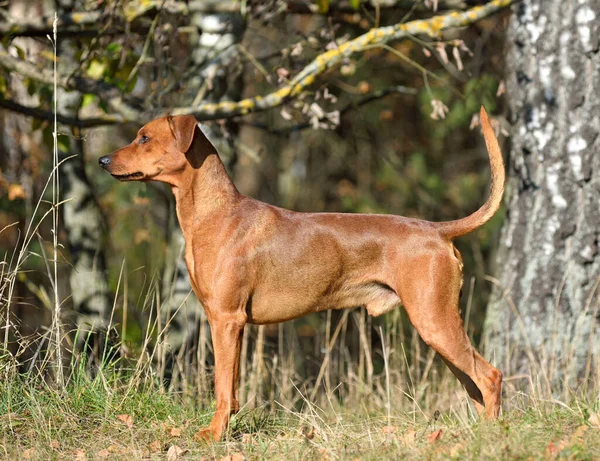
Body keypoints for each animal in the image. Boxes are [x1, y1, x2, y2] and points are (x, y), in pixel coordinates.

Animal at [101, 106, 504, 440]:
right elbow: (231, 388)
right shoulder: (232, 323)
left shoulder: (225, 319)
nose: (103, 160)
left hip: (434, 321)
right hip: (438, 328)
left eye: (144, 137)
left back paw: (490, 437)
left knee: (490, 376)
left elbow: (221, 388)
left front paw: (213, 436)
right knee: (474, 385)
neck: (215, 212)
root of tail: (437, 230)